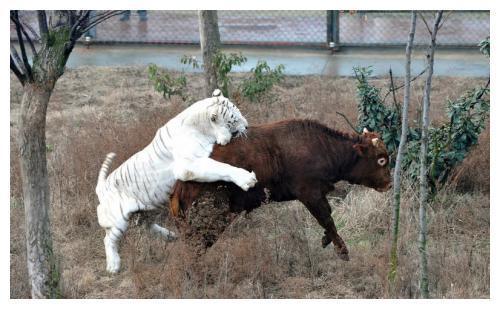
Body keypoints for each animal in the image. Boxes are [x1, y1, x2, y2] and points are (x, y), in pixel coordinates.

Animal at [95, 89, 258, 272]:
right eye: (234, 120)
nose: (247, 126)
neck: (202, 126)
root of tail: (101, 187)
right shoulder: (188, 165)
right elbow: (220, 167)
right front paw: (246, 179)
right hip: (118, 221)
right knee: (109, 239)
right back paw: (113, 265)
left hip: (150, 206)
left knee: (145, 223)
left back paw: (170, 235)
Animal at [170, 118, 392, 260]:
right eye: (381, 159)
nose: (389, 184)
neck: (324, 147)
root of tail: (181, 181)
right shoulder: (310, 194)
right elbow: (327, 219)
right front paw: (342, 250)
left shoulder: (318, 195)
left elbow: (328, 217)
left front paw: (326, 240)